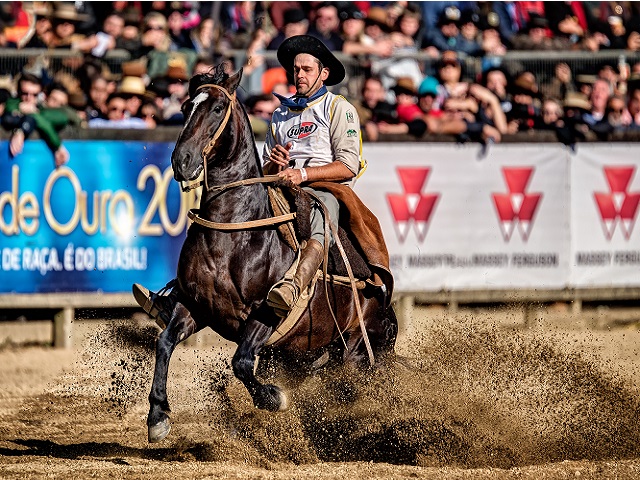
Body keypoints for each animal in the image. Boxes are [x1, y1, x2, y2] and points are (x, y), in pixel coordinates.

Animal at [147, 63, 398, 442]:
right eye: (186, 107)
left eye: (217, 108)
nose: (182, 160)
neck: (235, 234)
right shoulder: (196, 306)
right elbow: (164, 342)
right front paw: (158, 416)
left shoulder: (265, 317)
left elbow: (241, 362)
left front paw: (271, 396)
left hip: (356, 351)